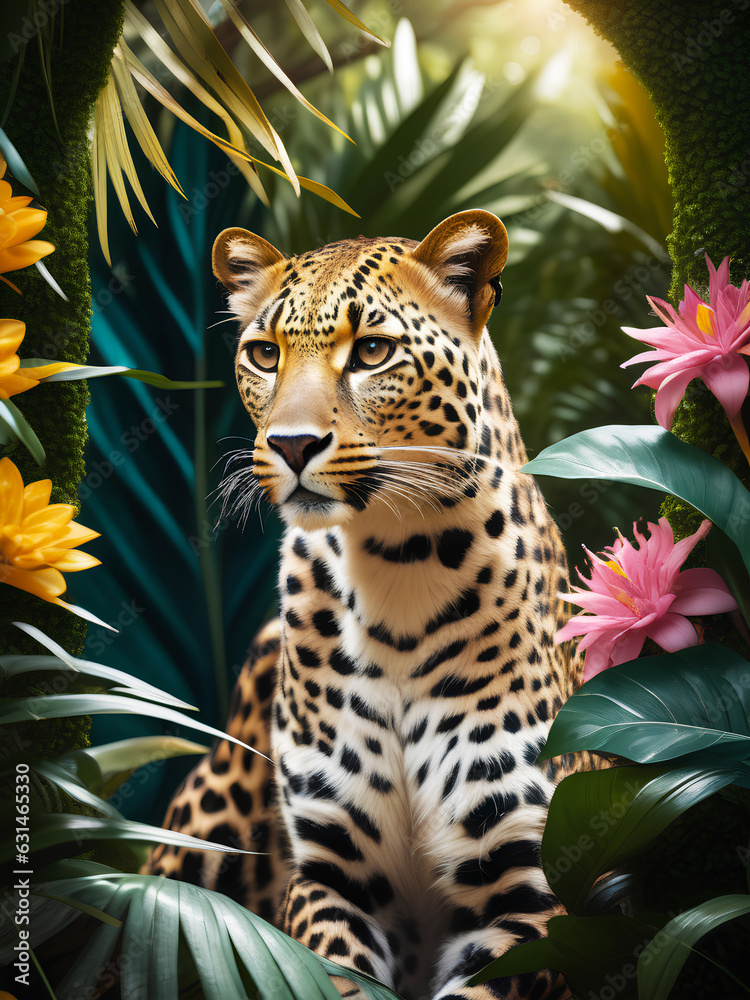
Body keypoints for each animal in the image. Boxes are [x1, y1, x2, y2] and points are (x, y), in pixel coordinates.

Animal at [147, 211, 584, 1000]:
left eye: (373, 352)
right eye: (264, 354)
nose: (291, 445)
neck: (396, 565)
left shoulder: (529, 897)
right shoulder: (333, 877)